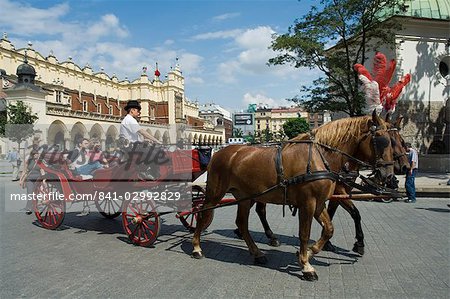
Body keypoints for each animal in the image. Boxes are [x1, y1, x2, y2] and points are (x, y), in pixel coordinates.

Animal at [192, 112, 396, 282]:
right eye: (381, 140)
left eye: (392, 141)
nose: (389, 177)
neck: (319, 157)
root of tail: (220, 152)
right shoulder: (307, 203)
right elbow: (304, 234)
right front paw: (306, 265)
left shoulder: (319, 204)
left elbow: (329, 229)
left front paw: (310, 253)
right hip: (215, 193)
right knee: (203, 214)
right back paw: (196, 247)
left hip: (246, 196)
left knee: (242, 223)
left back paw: (257, 253)